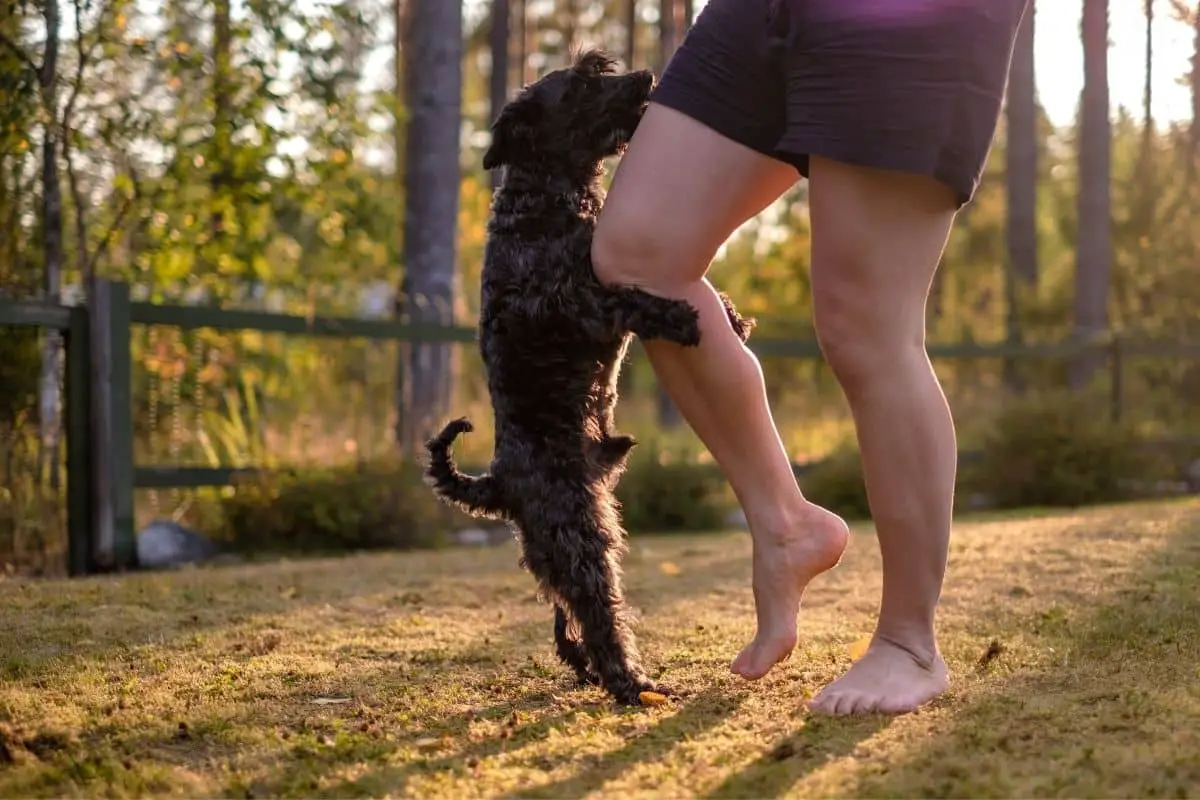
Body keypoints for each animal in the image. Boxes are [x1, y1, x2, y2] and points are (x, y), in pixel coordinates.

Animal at [427, 48, 753, 705]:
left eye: (600, 66)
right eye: (580, 85)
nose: (646, 78)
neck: (544, 202)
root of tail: (497, 483)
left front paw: (730, 315)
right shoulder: (574, 302)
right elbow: (630, 297)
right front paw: (683, 317)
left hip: (558, 547)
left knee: (565, 616)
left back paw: (585, 668)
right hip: (579, 537)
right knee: (598, 613)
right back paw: (631, 683)